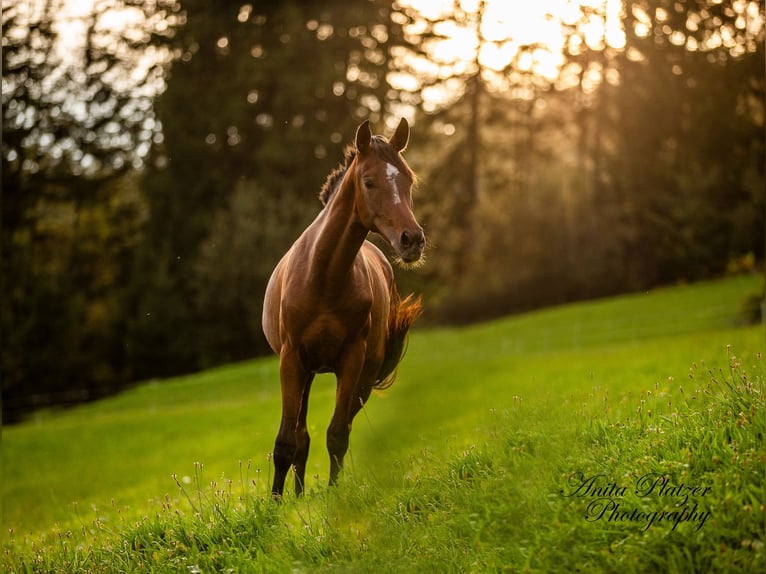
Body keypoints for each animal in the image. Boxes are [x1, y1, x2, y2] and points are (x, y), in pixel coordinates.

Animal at [260, 118, 424, 500]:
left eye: (409, 180)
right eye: (369, 181)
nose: (412, 239)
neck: (323, 276)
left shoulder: (353, 359)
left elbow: (337, 434)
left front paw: (335, 497)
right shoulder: (291, 360)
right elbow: (286, 442)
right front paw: (276, 503)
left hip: (363, 374)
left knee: (339, 425)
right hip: (305, 372)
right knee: (300, 436)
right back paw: (296, 495)